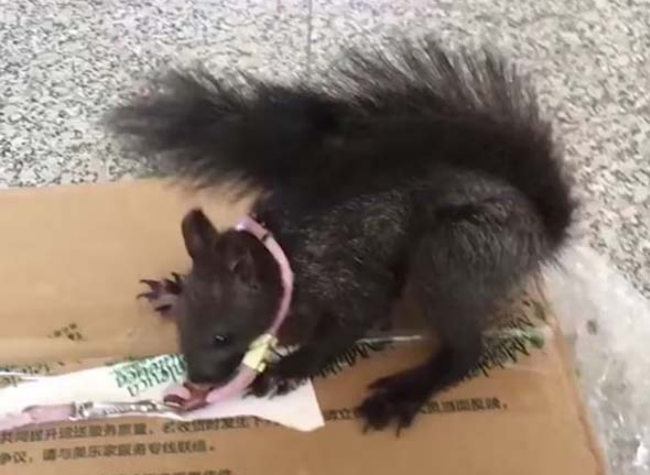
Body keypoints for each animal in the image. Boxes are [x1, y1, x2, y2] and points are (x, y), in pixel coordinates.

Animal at [107, 37, 575, 432]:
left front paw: (286, 370)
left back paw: (402, 395)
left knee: (465, 350)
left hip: (457, 255)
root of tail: (540, 230)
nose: (198, 381)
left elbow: (344, 328)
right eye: (183, 323)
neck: (283, 255)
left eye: (223, 336)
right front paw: (170, 289)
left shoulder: (344, 274)